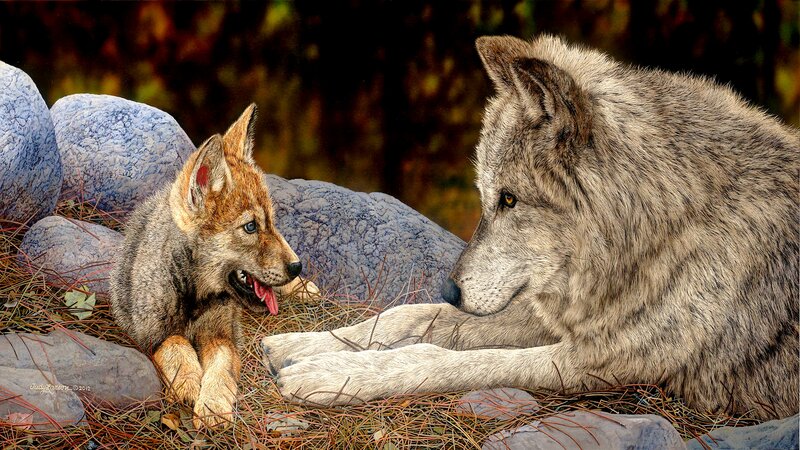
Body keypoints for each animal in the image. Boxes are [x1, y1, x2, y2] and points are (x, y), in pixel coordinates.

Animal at [110, 104, 314, 428]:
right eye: (250, 227)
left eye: (271, 222)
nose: (297, 266)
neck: (195, 298)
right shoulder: (152, 335)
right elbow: (177, 346)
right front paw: (189, 384)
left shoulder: (224, 336)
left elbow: (221, 368)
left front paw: (214, 405)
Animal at [262, 35, 799, 420]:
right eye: (487, 197)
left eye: (509, 199)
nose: (452, 288)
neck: (663, 230)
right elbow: (409, 316)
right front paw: (298, 345)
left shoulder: (599, 362)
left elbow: (446, 359)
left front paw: (331, 376)